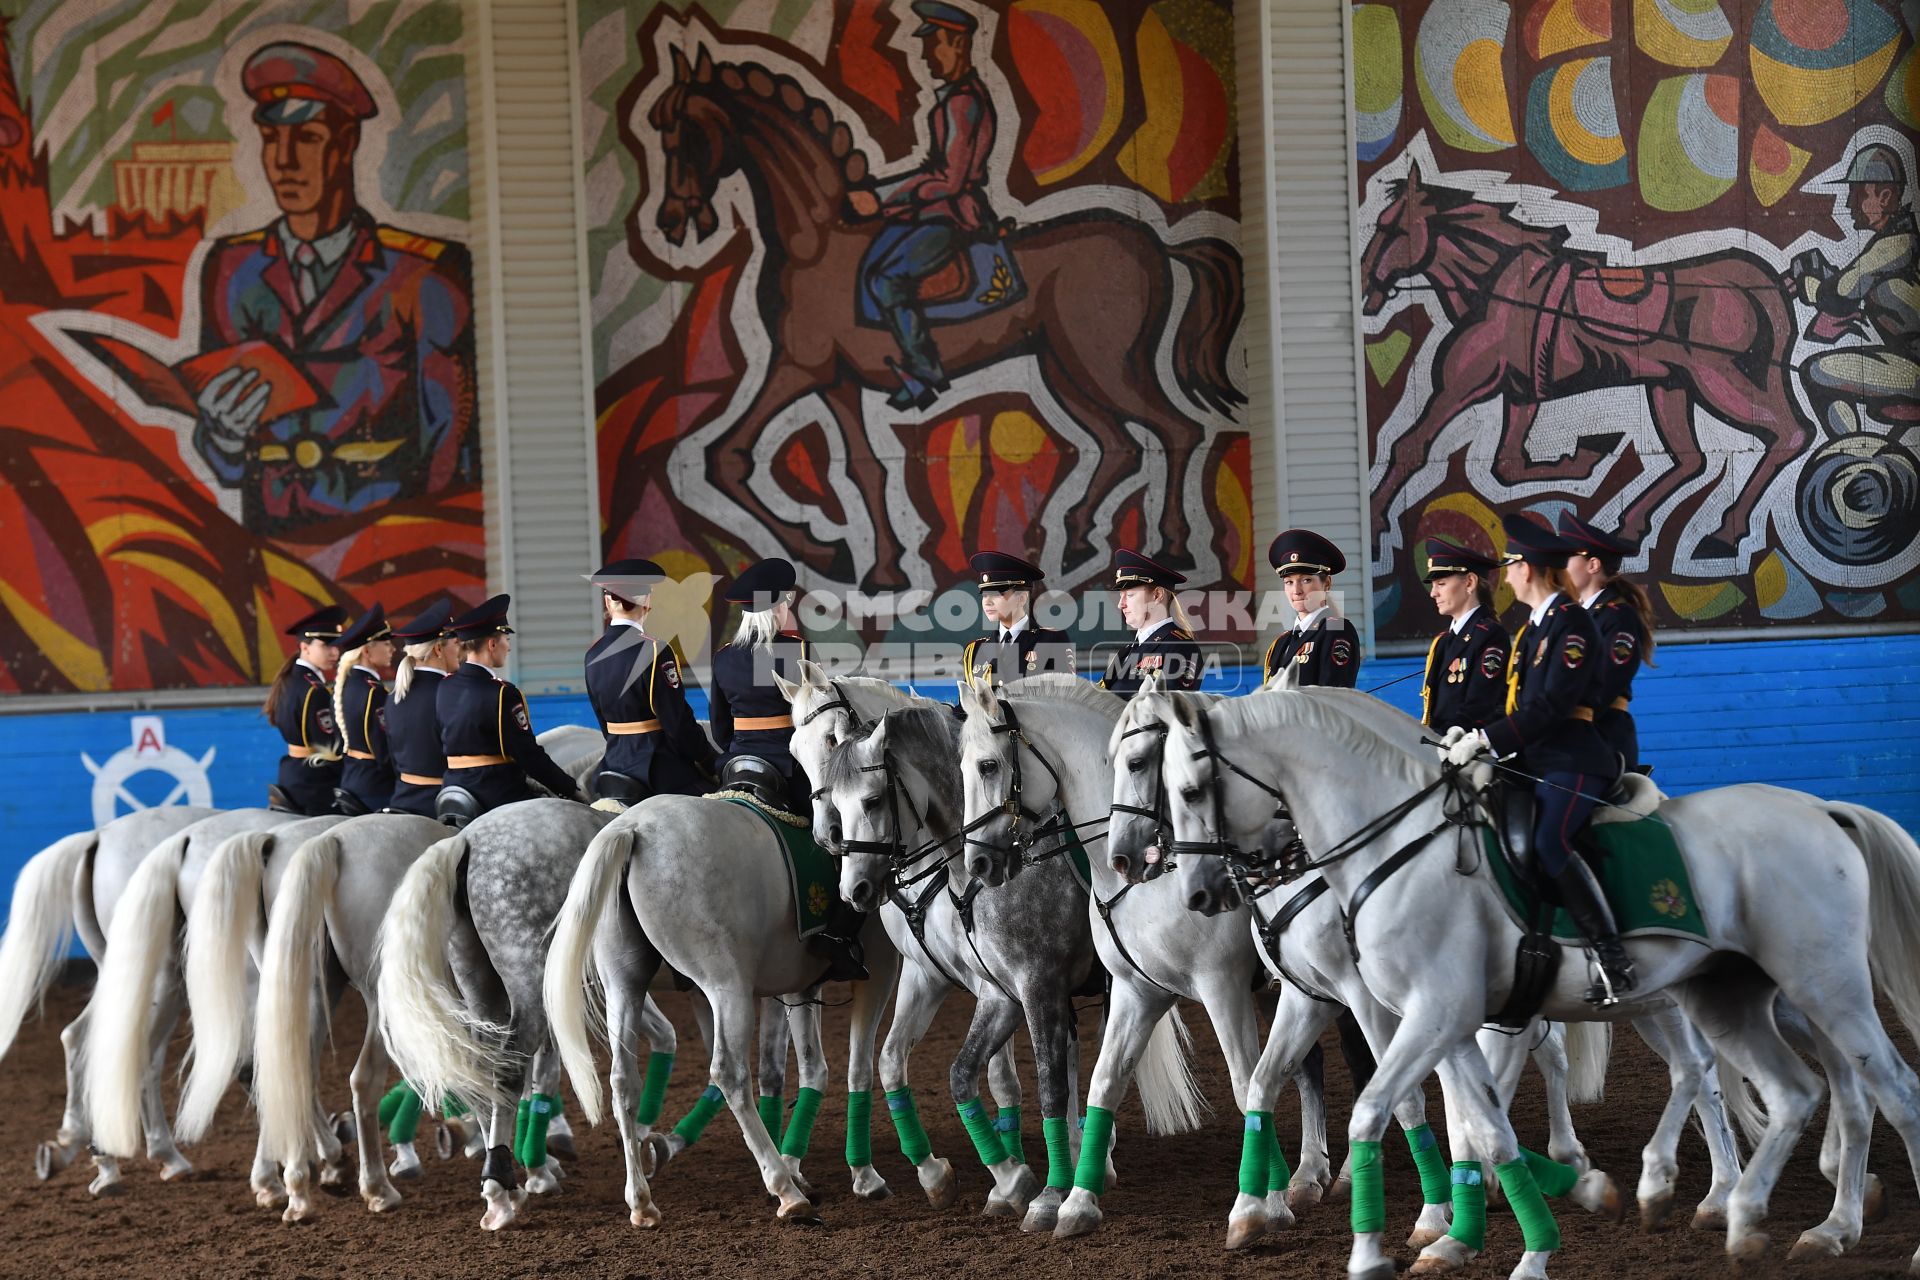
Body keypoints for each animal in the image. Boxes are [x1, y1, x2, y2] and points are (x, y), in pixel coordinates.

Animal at [633, 43, 1244, 587]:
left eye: (682, 134)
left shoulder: (796, 367)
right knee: (1120, 444)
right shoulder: (836, 382)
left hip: (1102, 363)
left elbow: (727, 456)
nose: (670, 222)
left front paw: (826, 553)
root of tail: (1156, 240)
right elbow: (865, 468)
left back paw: (1174, 546)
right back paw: (1075, 542)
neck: (815, 241)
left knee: (1176, 429)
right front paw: (880, 571)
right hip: (1062, 367)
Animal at [1144, 690, 1920, 1280]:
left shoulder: (1430, 1016)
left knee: (1880, 1088)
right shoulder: (1445, 1021)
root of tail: (1821, 810)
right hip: (1737, 998)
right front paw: (1527, 1230)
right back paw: (1779, 1218)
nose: (1200, 894)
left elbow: (1381, 1112)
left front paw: (1381, 1250)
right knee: (1799, 1088)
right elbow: (1487, 1129)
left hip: (1821, 986)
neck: (1392, 846)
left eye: (1188, 790)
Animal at [1359, 161, 1804, 560]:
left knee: (1790, 434)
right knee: (1692, 458)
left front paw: (1377, 523)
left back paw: (1723, 532)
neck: (1495, 283)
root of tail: (1770, 283)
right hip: (1671, 385)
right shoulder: (1521, 394)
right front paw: (1586, 455)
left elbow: (1410, 446)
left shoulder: (1461, 385)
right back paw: (1632, 528)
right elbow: (1509, 464)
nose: (1365, 283)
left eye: (1393, 229)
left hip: (1723, 380)